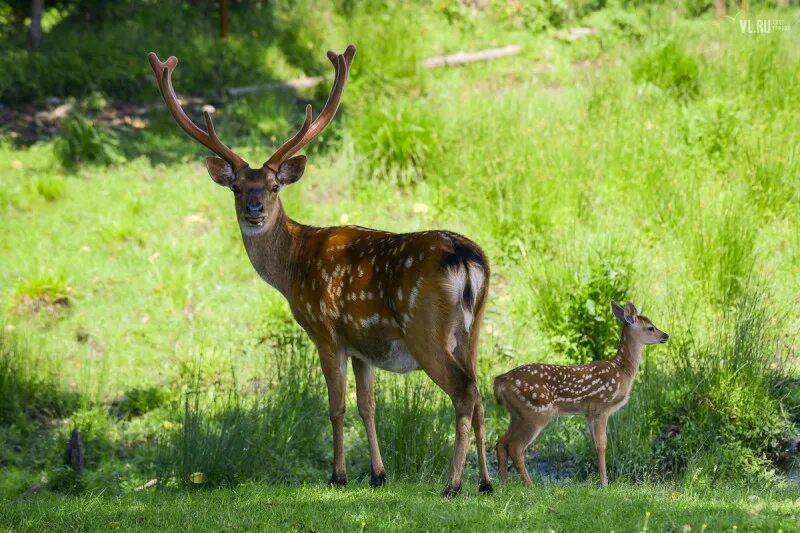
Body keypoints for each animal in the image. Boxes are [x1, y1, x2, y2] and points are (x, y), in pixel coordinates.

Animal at [147, 44, 490, 494]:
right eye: (237, 188)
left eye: (274, 187)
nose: (254, 210)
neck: (293, 266)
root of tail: (467, 260)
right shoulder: (363, 343)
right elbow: (367, 405)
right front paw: (378, 474)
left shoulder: (325, 330)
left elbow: (336, 406)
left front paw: (339, 475)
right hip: (474, 329)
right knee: (481, 391)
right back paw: (486, 481)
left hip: (425, 330)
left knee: (464, 391)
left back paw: (453, 484)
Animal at [494, 302, 668, 484]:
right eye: (650, 328)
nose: (666, 335)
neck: (622, 371)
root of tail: (501, 380)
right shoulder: (601, 407)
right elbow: (602, 445)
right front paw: (605, 483)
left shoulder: (588, 413)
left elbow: (595, 445)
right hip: (535, 412)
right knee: (515, 447)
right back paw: (530, 485)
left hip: (517, 414)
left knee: (501, 443)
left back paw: (504, 483)